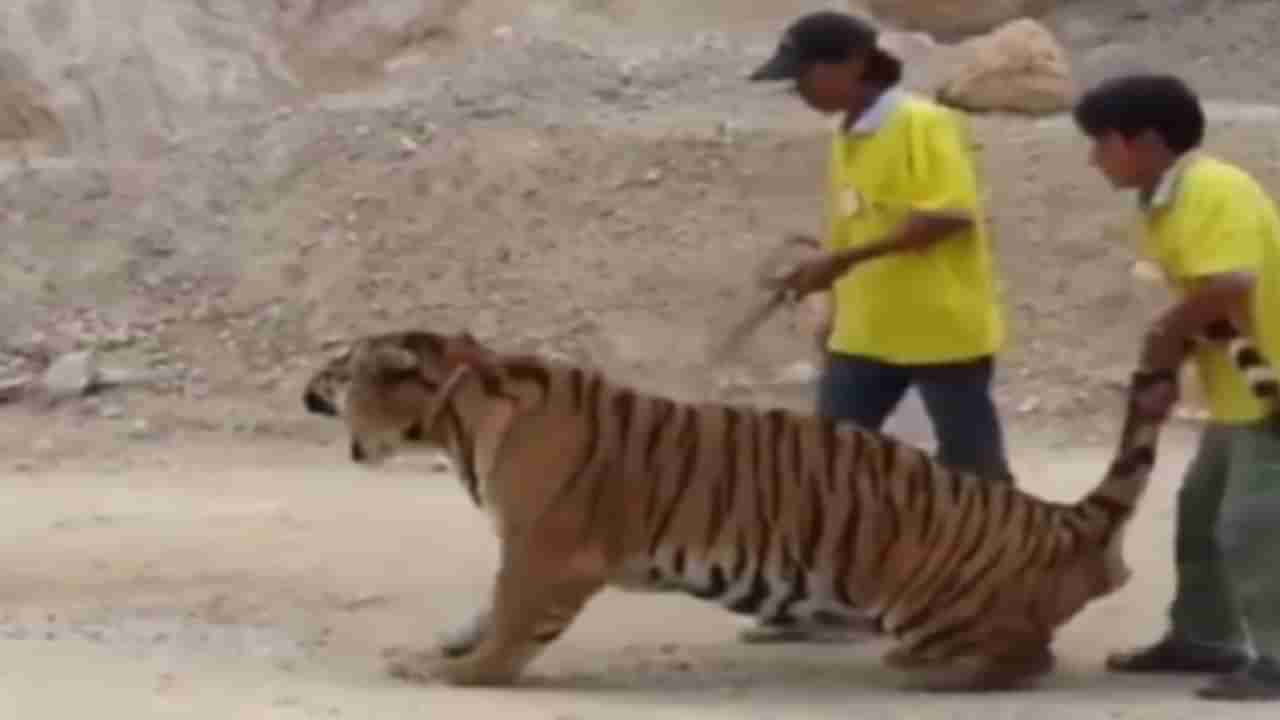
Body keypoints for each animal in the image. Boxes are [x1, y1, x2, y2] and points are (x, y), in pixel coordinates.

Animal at [302, 320, 1280, 691]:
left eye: (343, 366)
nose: (308, 390)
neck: (456, 415)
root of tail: (1059, 516)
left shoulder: (547, 550)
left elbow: (509, 623)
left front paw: (460, 671)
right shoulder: (526, 548)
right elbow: (484, 607)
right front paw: (444, 646)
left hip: (928, 603)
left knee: (1020, 655)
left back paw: (926, 671)